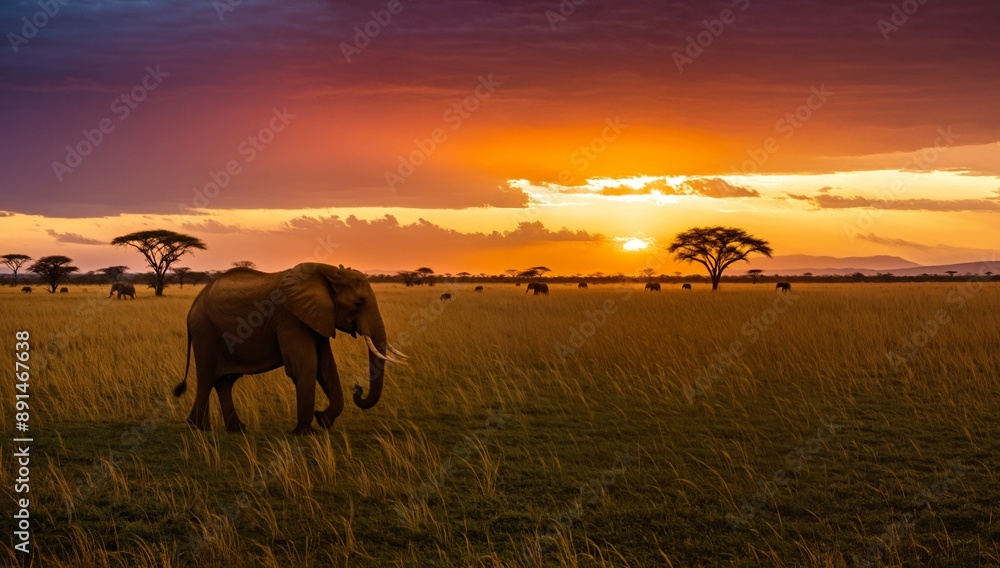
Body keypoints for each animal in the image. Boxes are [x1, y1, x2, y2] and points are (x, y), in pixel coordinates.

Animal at [172, 263, 407, 435]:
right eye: (358, 303)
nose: (357, 390)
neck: (330, 272)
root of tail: (193, 306)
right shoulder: (291, 319)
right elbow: (307, 366)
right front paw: (307, 432)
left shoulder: (317, 318)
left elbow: (326, 367)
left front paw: (323, 420)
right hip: (205, 332)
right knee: (207, 378)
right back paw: (198, 428)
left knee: (225, 381)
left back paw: (236, 429)